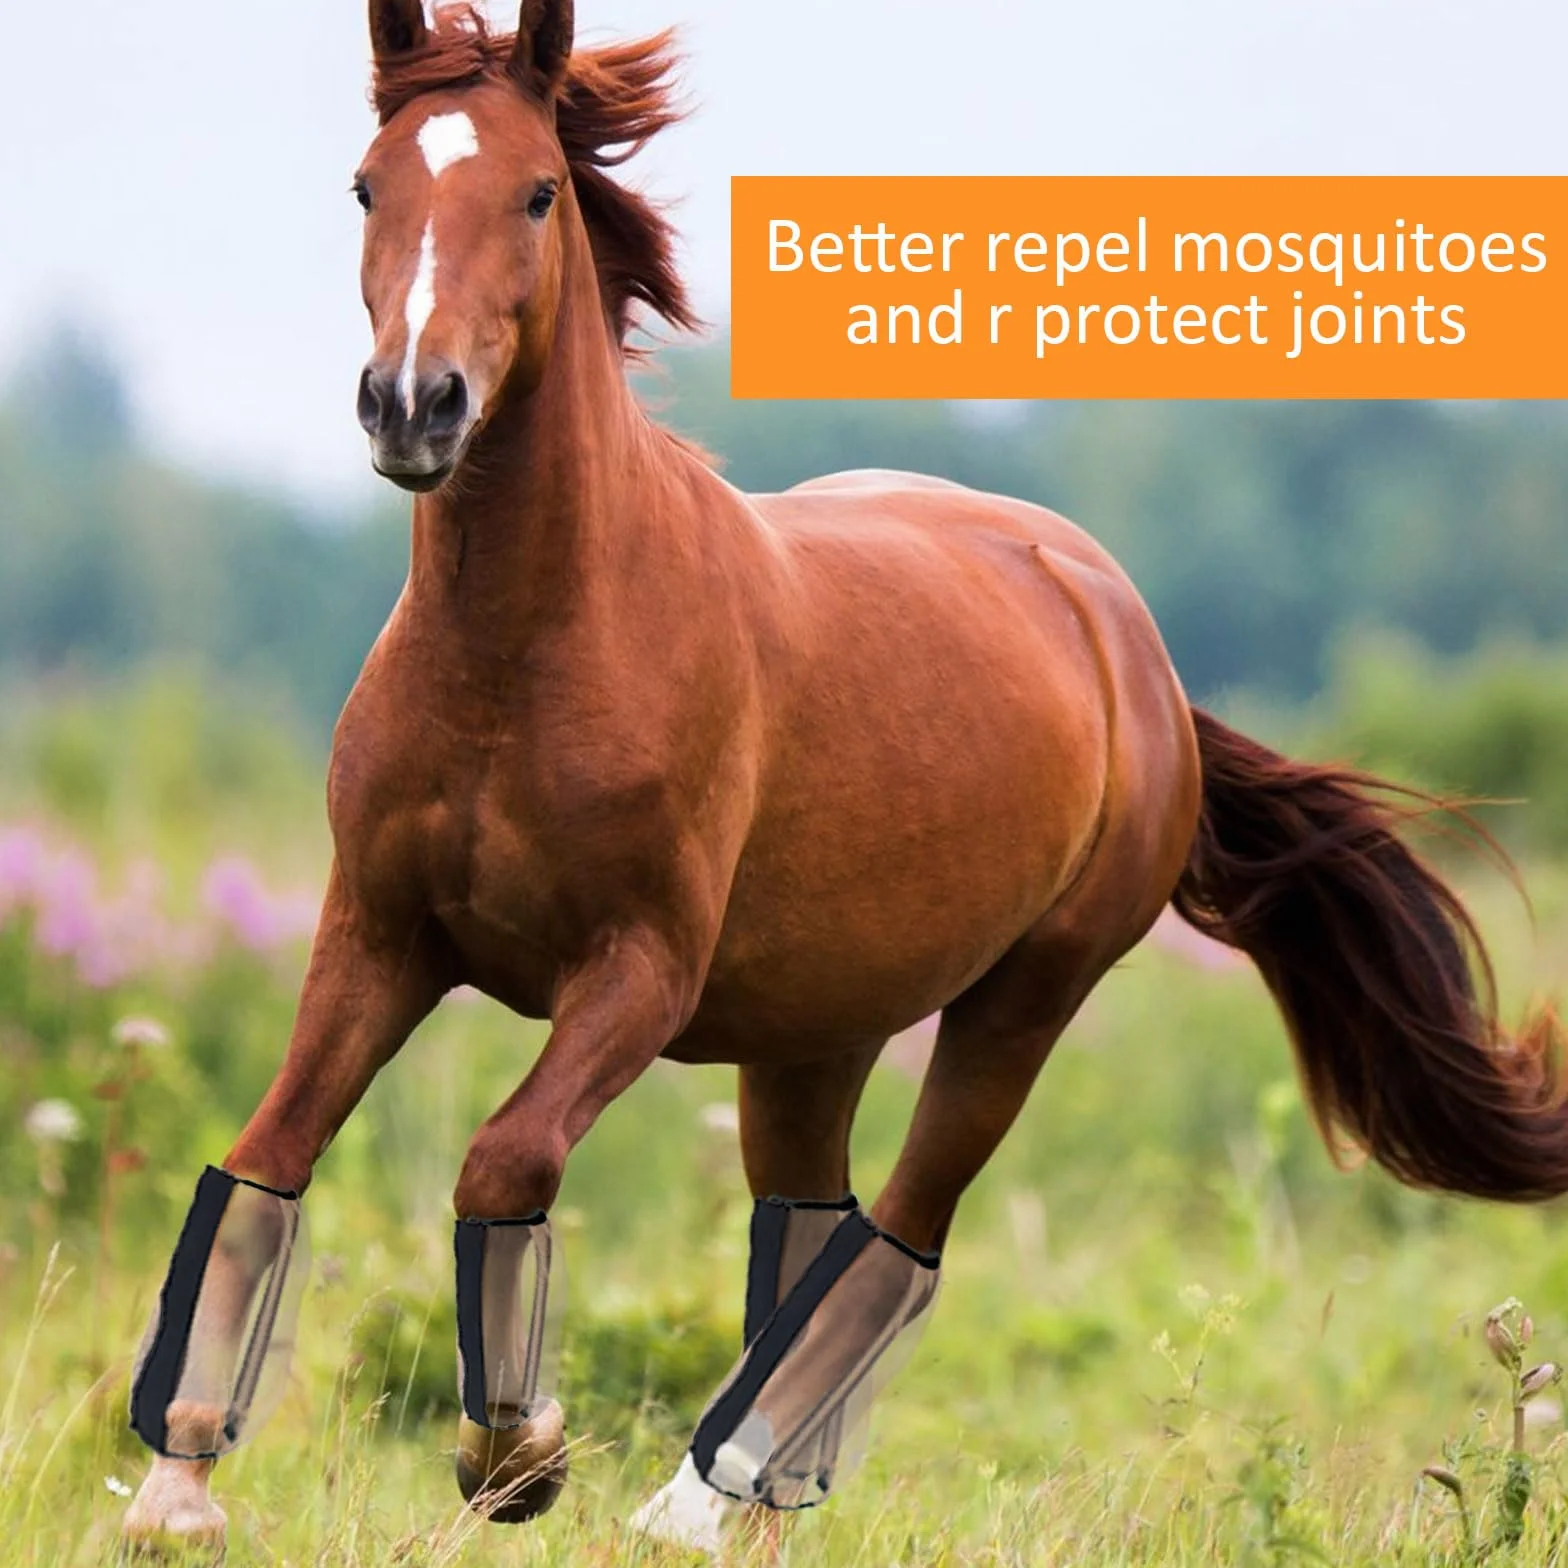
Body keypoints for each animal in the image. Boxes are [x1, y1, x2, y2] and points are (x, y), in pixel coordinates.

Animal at [124, 0, 1568, 1552]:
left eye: (539, 191)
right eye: (366, 187)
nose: (413, 406)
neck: (526, 650)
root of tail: (1122, 629)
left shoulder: (636, 973)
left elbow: (504, 1160)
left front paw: (519, 1455)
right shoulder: (378, 936)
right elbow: (266, 1152)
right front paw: (174, 1489)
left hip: (1020, 1003)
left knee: (897, 1237)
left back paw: (692, 1505)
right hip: (817, 1028)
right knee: (808, 1227)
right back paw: (744, 1504)